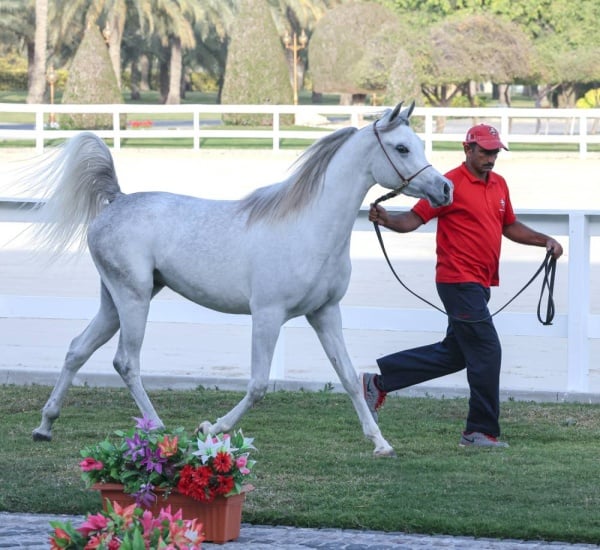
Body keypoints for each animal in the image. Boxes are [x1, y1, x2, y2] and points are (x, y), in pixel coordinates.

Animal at [28, 103, 450, 458]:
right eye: (401, 148)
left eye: (417, 144)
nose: (444, 189)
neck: (309, 227)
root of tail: (117, 199)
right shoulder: (267, 315)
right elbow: (259, 385)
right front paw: (210, 428)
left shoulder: (325, 313)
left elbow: (346, 375)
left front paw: (380, 442)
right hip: (134, 299)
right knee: (125, 362)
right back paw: (159, 428)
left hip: (114, 300)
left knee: (77, 349)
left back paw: (45, 425)